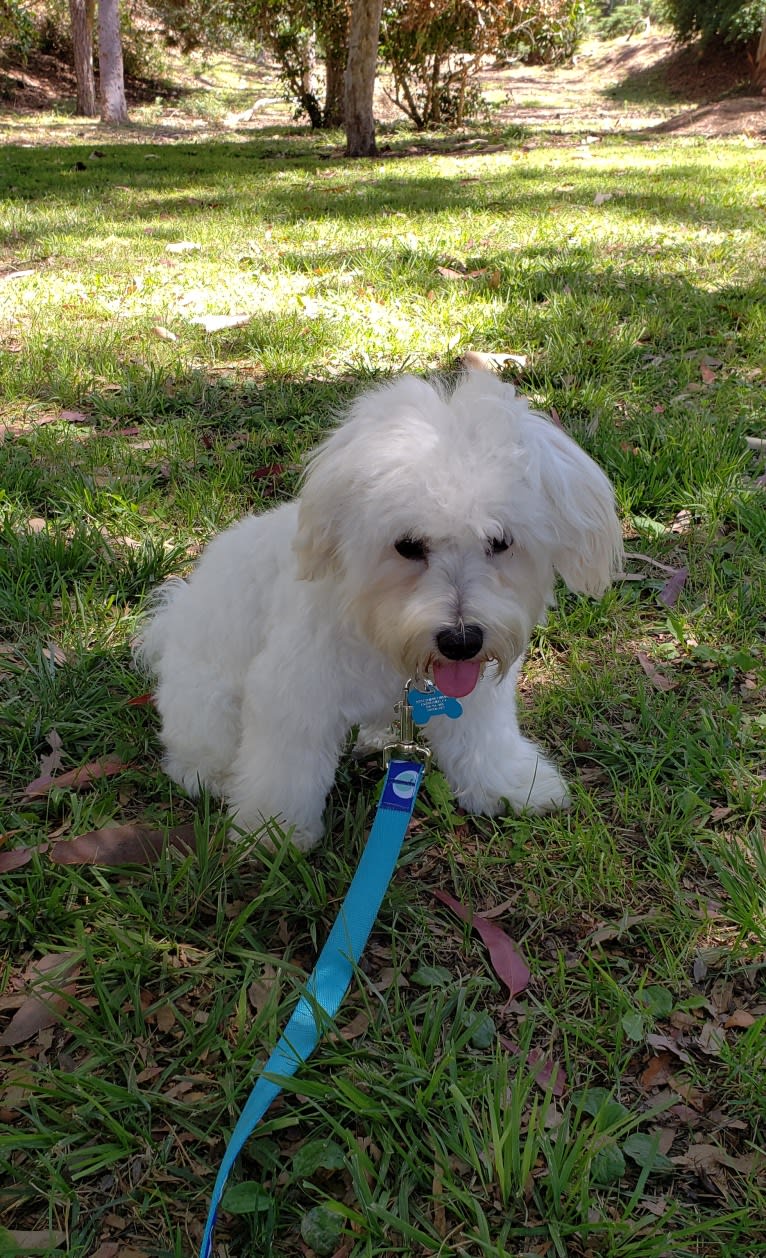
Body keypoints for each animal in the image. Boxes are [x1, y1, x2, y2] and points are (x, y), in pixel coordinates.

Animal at [137, 367, 621, 850]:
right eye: (407, 545)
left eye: (500, 542)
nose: (461, 641)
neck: (379, 630)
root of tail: (171, 621)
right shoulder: (293, 696)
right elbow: (285, 772)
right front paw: (273, 829)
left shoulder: (474, 693)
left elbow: (484, 740)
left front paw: (510, 786)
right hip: (207, 704)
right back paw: (209, 774)